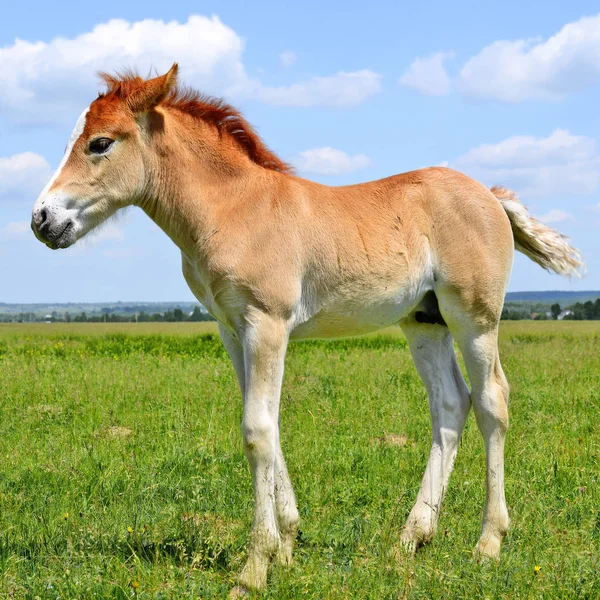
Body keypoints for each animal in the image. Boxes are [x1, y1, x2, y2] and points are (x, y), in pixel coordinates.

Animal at [31, 67, 580, 596]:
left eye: (100, 142)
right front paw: (287, 544)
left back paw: (487, 543)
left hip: (474, 319)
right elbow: (267, 425)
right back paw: (411, 538)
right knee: (449, 404)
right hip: (424, 321)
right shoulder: (232, 329)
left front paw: (254, 569)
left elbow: (257, 430)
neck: (235, 209)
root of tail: (490, 195)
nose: (41, 219)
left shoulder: (266, 323)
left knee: (491, 402)